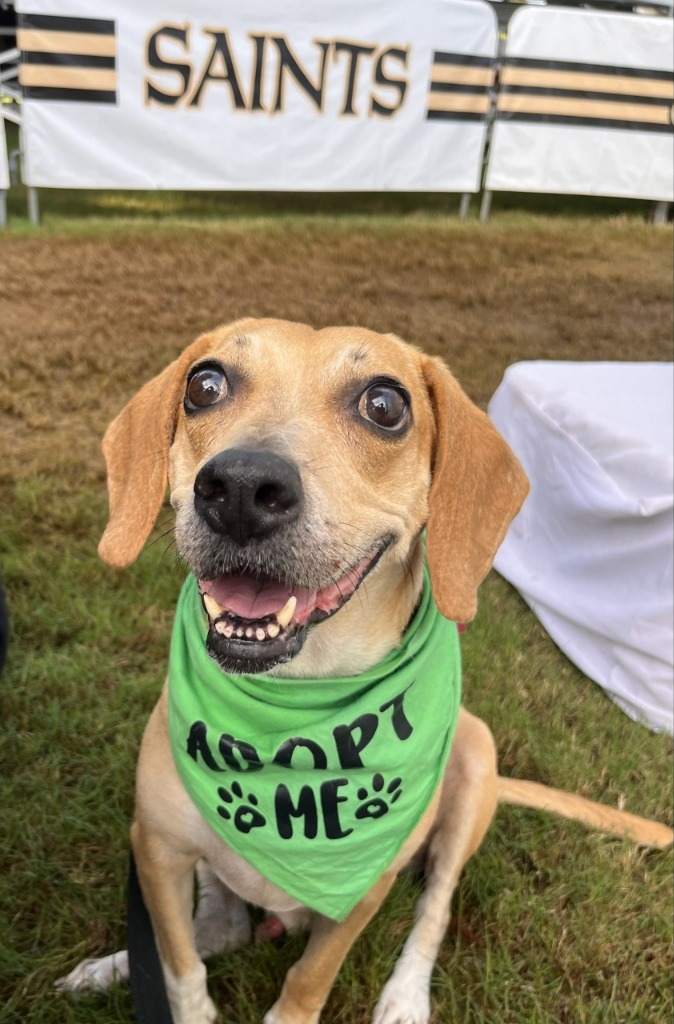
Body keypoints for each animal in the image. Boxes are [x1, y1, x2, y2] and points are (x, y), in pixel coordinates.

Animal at [59, 319, 671, 1024]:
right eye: (204, 385)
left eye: (384, 404)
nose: (239, 487)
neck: (297, 696)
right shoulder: (155, 848)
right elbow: (177, 960)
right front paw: (169, 993)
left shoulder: (365, 889)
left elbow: (310, 978)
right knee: (217, 927)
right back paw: (113, 966)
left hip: (474, 762)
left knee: (435, 910)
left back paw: (405, 998)